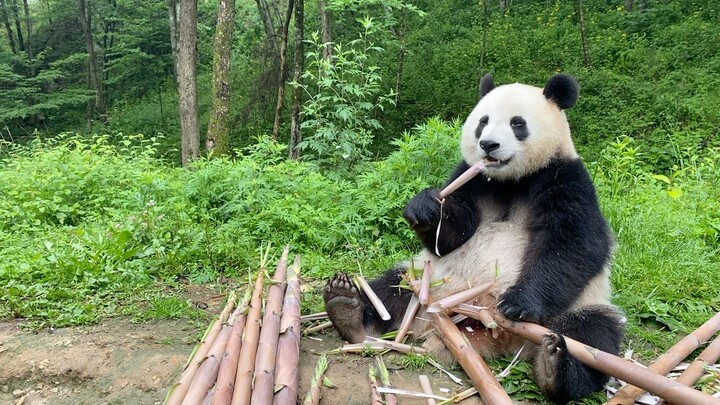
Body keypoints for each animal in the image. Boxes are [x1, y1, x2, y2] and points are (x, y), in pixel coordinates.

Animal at [324, 74, 628, 402]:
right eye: (483, 121)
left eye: (517, 123)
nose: (488, 145)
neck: (511, 181)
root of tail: (490, 334)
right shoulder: (472, 177)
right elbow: (449, 237)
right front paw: (425, 207)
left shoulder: (565, 177)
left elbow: (576, 245)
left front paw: (518, 304)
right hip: (427, 284)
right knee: (390, 290)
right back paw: (346, 306)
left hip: (581, 305)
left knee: (592, 335)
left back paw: (556, 367)